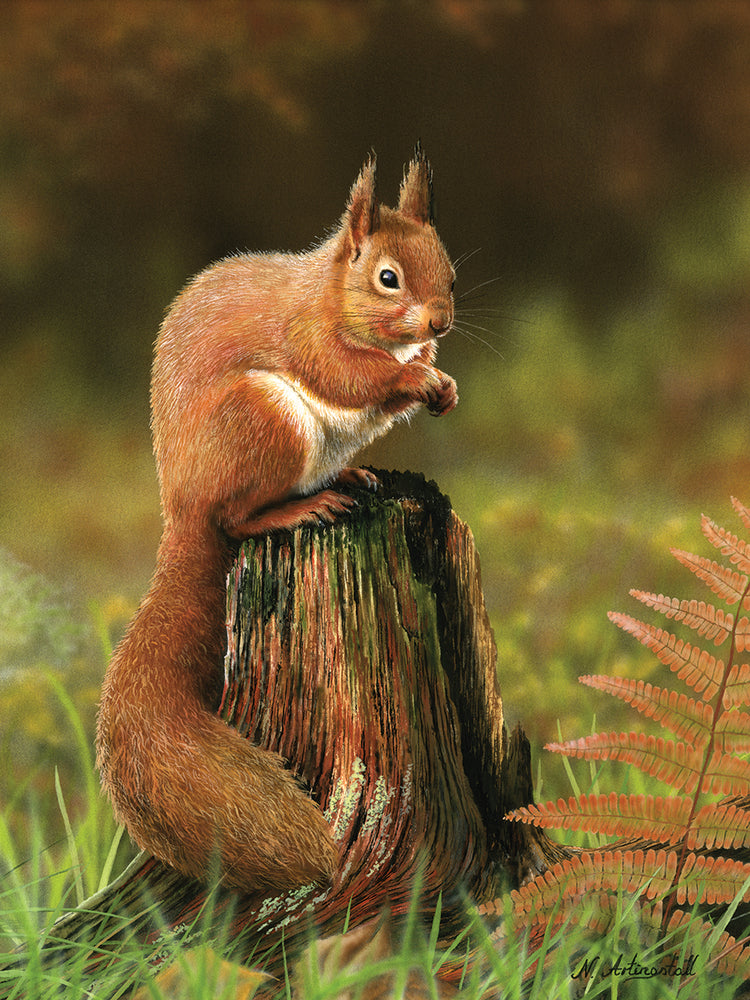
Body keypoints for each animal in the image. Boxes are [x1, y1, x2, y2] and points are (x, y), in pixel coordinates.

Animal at [95, 147, 458, 894]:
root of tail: (181, 511)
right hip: (262, 423)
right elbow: (348, 376)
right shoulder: (308, 336)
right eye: (387, 278)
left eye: (450, 270)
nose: (440, 322)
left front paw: (440, 382)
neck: (331, 294)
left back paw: (349, 477)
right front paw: (411, 379)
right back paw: (300, 505)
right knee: (236, 520)